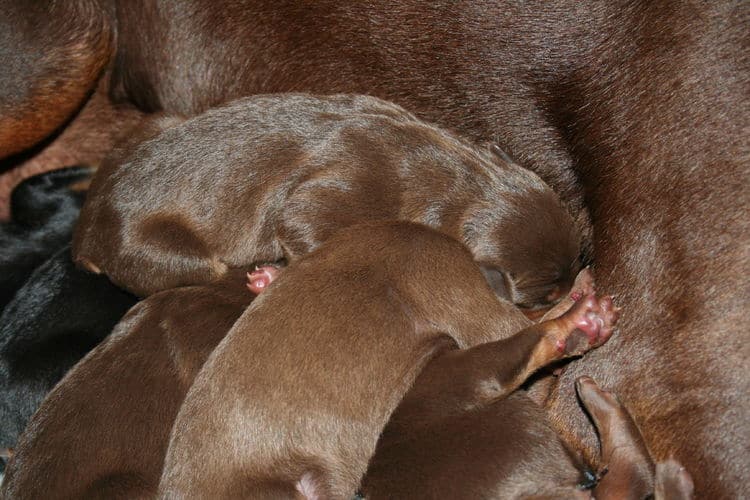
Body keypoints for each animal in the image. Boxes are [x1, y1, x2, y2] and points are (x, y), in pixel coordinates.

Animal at [75, 93, 580, 308]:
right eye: (548, 295)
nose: (576, 290)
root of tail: (83, 241)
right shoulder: (341, 190)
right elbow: (304, 220)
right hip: (154, 248)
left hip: (161, 120)